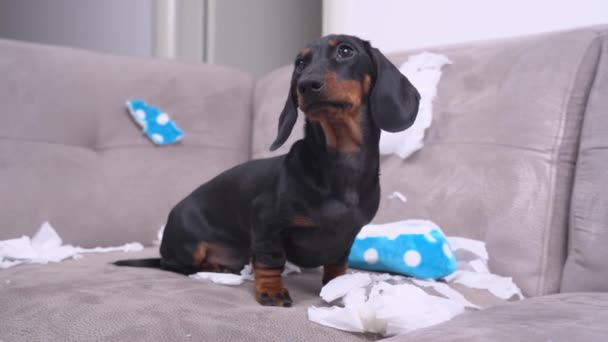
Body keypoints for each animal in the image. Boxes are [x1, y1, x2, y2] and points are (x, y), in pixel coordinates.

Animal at [113, 34, 418, 308]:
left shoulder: (347, 236)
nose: (306, 85)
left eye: (346, 51)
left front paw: (337, 287)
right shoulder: (265, 221)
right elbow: (270, 259)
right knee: (175, 264)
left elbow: (336, 264)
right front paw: (271, 291)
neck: (340, 160)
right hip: (189, 245)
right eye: (300, 63)